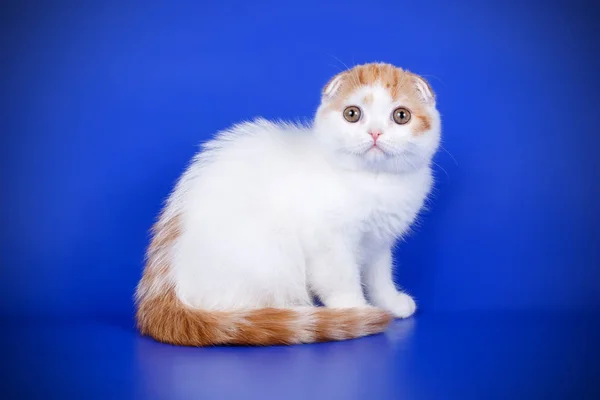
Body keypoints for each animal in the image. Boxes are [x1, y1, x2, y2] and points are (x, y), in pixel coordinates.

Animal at [135, 62, 440, 346]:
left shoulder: (378, 241)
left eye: (401, 116)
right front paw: (356, 310)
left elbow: (380, 275)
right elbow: (341, 279)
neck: (374, 182)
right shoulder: (327, 243)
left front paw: (390, 301)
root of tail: (162, 288)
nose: (375, 133)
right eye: (352, 114)